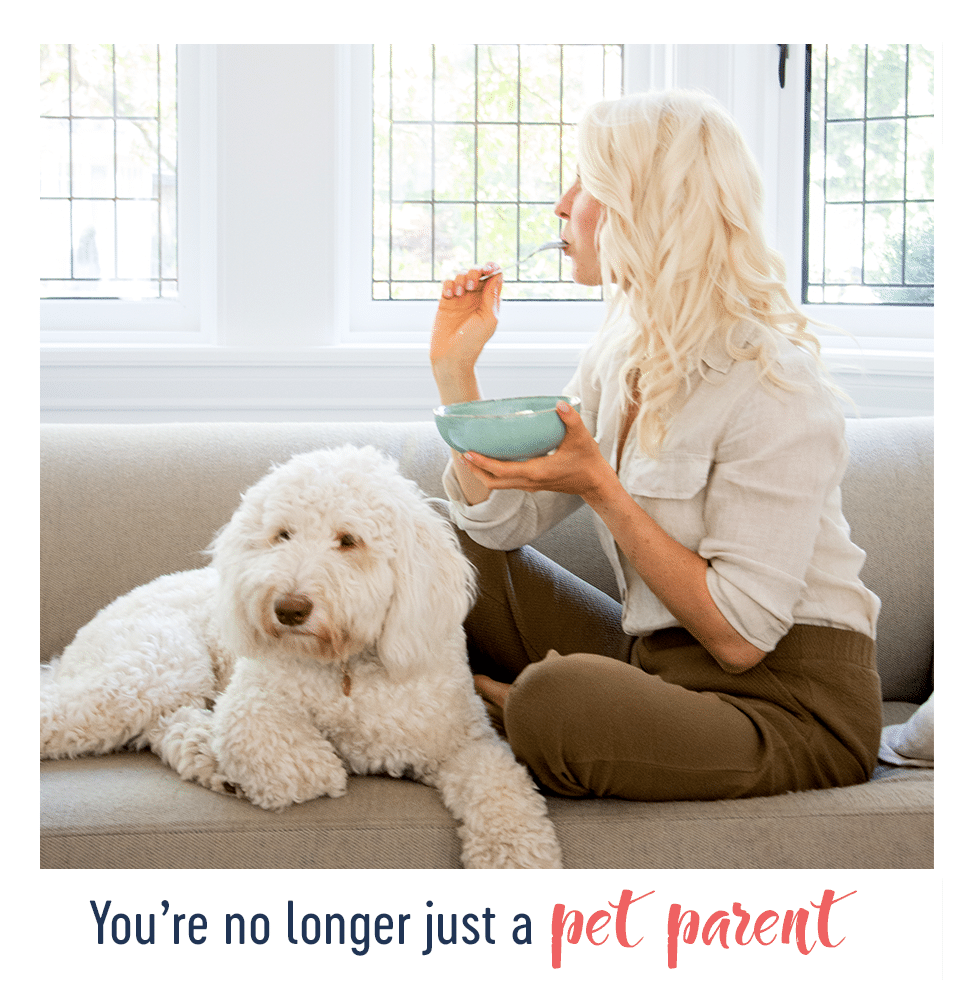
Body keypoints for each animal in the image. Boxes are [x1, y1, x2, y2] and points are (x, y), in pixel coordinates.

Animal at [41, 445, 564, 870]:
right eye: (282, 535)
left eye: (348, 540)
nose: (289, 609)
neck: (346, 667)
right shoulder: (253, 697)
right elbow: (285, 758)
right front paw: (324, 765)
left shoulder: (464, 740)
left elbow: (501, 788)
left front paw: (516, 856)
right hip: (157, 667)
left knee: (162, 722)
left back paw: (203, 751)